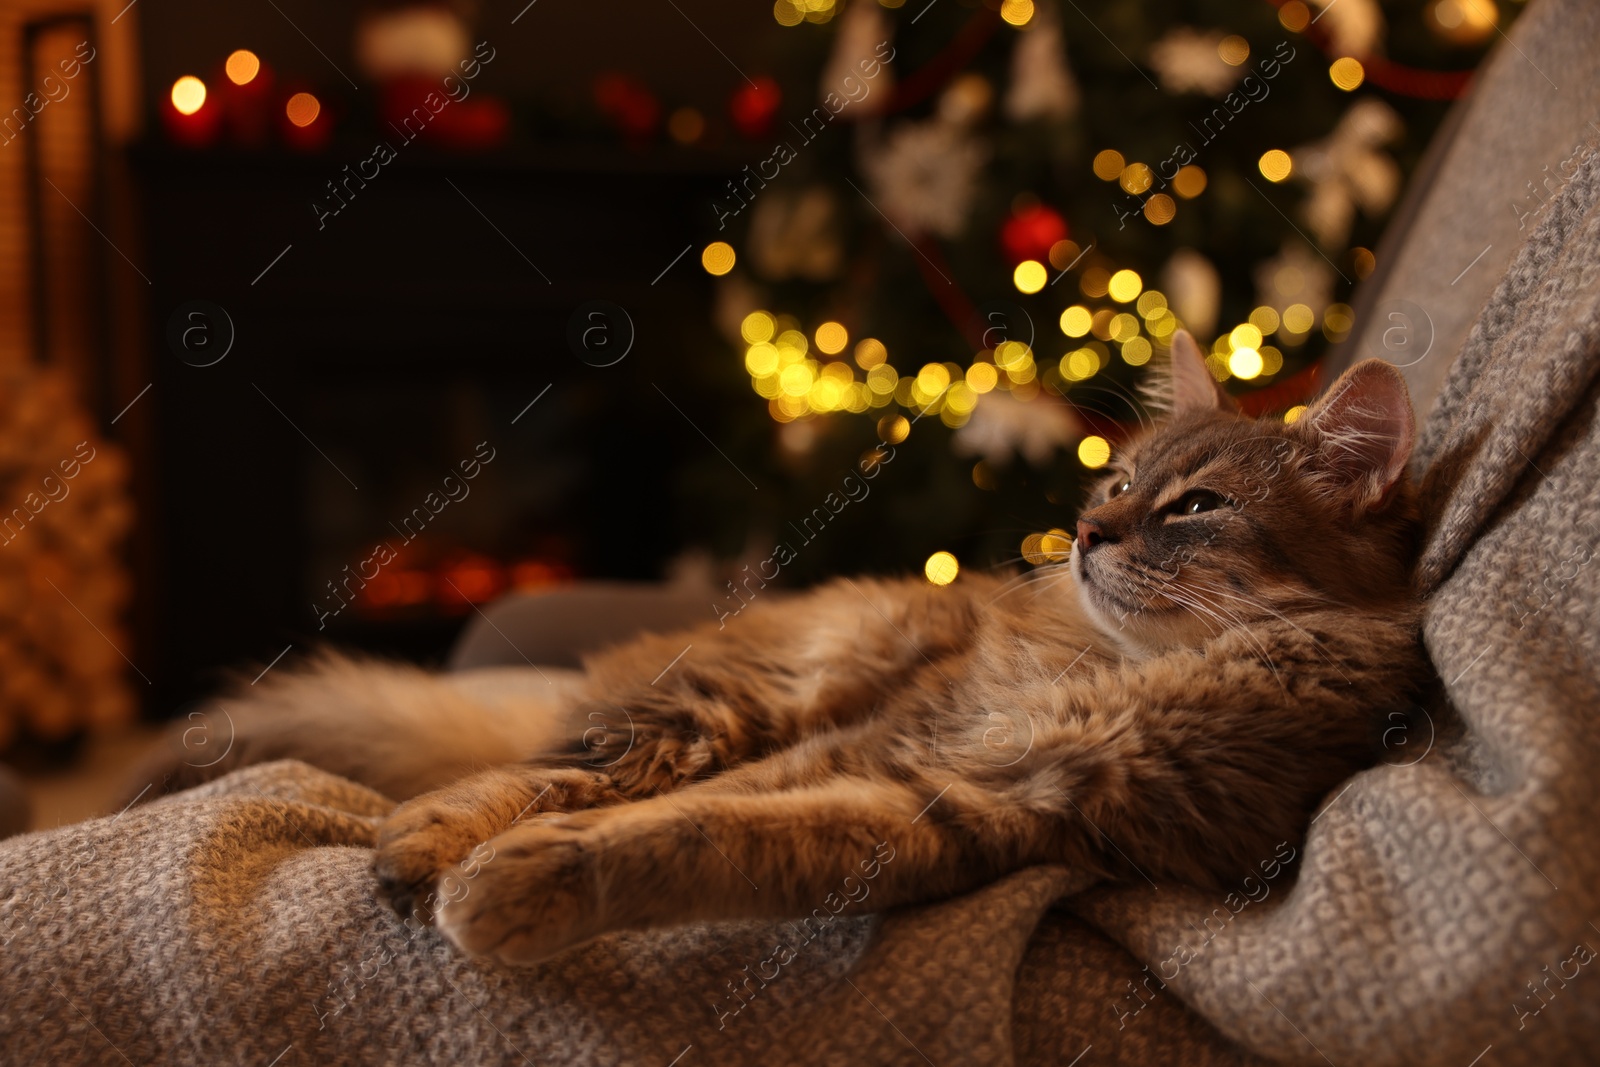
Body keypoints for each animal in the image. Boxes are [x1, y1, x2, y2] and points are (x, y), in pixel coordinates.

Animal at [128, 335, 1427, 966]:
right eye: (1114, 481)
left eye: (1197, 507)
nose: (1083, 534)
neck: (1113, 667)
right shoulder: (892, 733)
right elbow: (672, 811)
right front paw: (497, 864)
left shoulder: (974, 806)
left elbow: (707, 837)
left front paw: (532, 882)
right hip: (743, 696)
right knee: (553, 765)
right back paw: (422, 837)